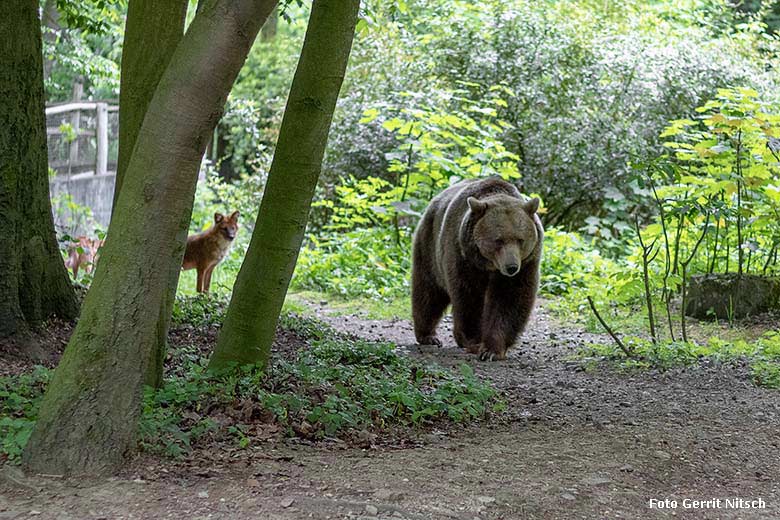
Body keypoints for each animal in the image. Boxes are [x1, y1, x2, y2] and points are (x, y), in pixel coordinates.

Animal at [414, 177, 544, 360]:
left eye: (520, 240)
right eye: (498, 240)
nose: (511, 267)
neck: (489, 265)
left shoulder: (526, 264)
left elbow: (509, 300)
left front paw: (492, 350)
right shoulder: (463, 256)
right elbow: (470, 298)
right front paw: (475, 341)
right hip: (429, 247)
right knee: (428, 292)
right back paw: (428, 335)